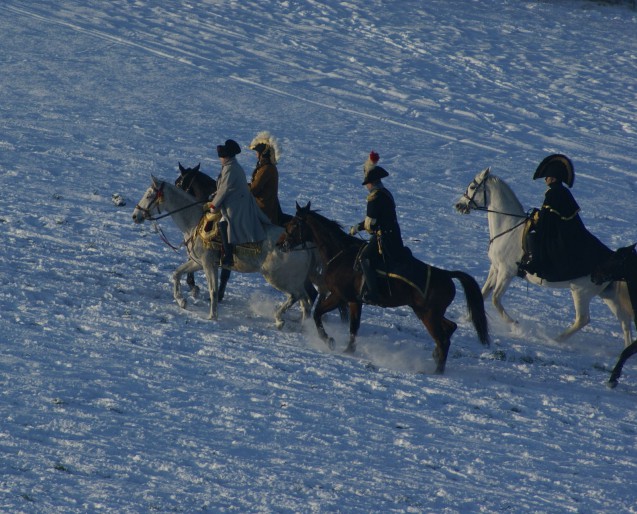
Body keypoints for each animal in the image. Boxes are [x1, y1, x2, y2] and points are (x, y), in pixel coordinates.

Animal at [132, 176, 316, 328]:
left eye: (149, 195)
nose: (135, 216)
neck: (194, 222)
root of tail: (302, 244)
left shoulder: (208, 265)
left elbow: (212, 290)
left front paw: (212, 316)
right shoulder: (198, 263)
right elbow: (177, 274)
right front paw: (181, 300)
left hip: (278, 279)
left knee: (297, 297)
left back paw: (279, 319)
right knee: (305, 302)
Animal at [276, 200, 490, 372]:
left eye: (293, 224)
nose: (280, 244)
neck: (341, 253)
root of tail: (446, 274)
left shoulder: (340, 296)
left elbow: (318, 313)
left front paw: (329, 341)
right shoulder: (355, 301)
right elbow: (353, 327)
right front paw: (349, 350)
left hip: (428, 315)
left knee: (443, 339)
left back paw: (437, 370)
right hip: (429, 313)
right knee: (449, 328)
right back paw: (436, 357)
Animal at [452, 166, 632, 346]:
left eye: (472, 187)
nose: (459, 205)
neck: (509, 228)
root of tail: (613, 259)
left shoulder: (506, 272)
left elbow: (495, 299)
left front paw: (515, 324)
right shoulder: (495, 269)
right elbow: (483, 294)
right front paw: (468, 319)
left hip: (581, 293)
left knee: (583, 319)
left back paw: (555, 340)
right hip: (608, 296)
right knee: (624, 322)